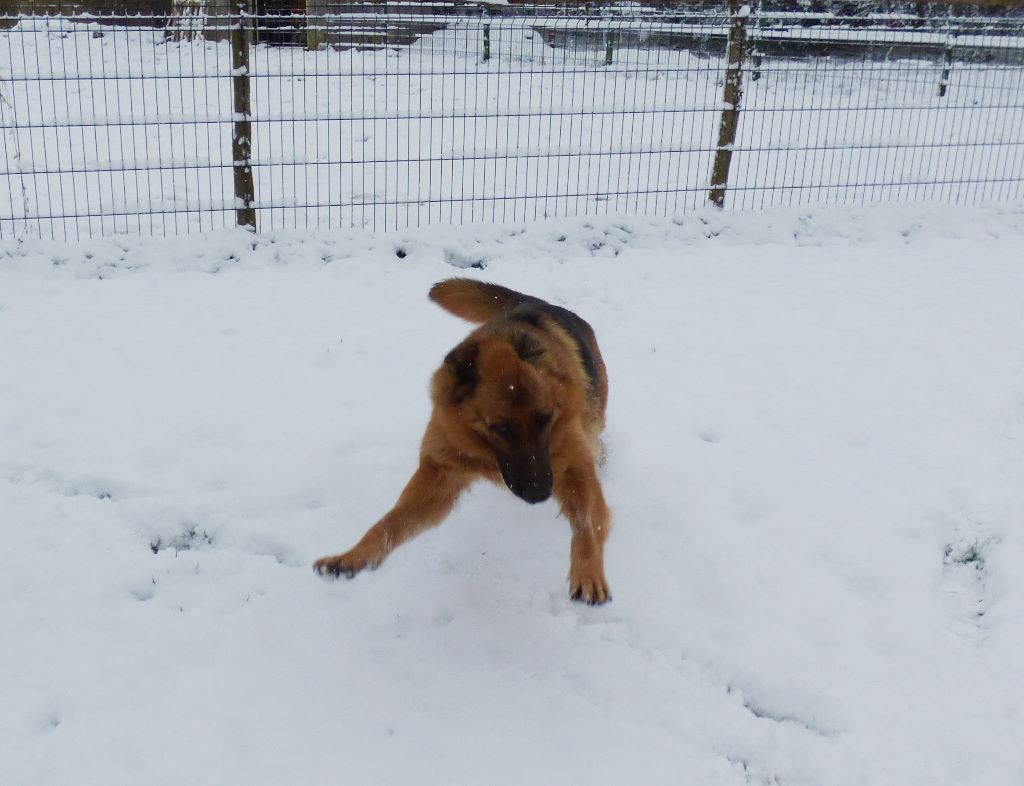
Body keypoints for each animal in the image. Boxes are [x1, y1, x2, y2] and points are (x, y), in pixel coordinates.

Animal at [311, 278, 610, 605]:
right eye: (500, 428)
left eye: (545, 418)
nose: (540, 494)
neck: (489, 455)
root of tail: (532, 302)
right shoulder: (439, 477)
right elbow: (389, 524)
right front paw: (353, 557)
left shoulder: (573, 469)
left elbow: (588, 522)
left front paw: (588, 573)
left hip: (594, 417)